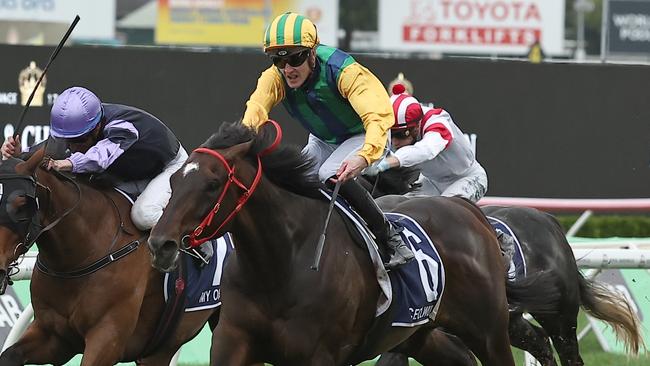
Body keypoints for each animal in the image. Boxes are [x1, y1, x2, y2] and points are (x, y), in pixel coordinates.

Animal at [149, 121, 556, 366]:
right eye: (174, 181)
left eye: (212, 184)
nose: (160, 244)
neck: (282, 265)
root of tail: (469, 212)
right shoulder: (233, 341)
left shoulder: (319, 355)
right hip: (423, 334)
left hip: (490, 331)